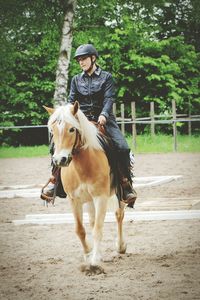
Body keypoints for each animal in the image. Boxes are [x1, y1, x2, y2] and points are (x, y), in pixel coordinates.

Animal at [45, 102, 126, 274]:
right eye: (52, 131)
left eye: (72, 129)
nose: (59, 160)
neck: (83, 165)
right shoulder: (74, 200)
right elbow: (80, 229)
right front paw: (88, 254)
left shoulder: (100, 198)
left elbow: (98, 229)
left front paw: (94, 262)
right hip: (88, 201)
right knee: (92, 221)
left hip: (118, 194)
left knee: (119, 215)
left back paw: (121, 246)